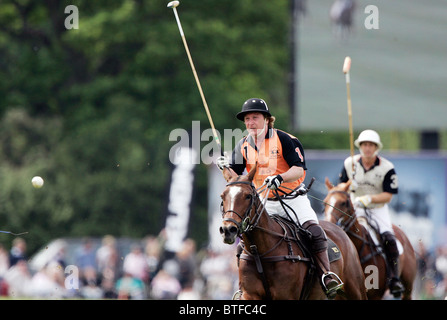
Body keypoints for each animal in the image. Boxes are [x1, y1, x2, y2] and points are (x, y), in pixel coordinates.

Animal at [219, 168, 370, 300]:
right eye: (222, 196)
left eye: (248, 196)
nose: (228, 230)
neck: (260, 251)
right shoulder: (250, 294)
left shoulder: (286, 295)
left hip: (355, 289)